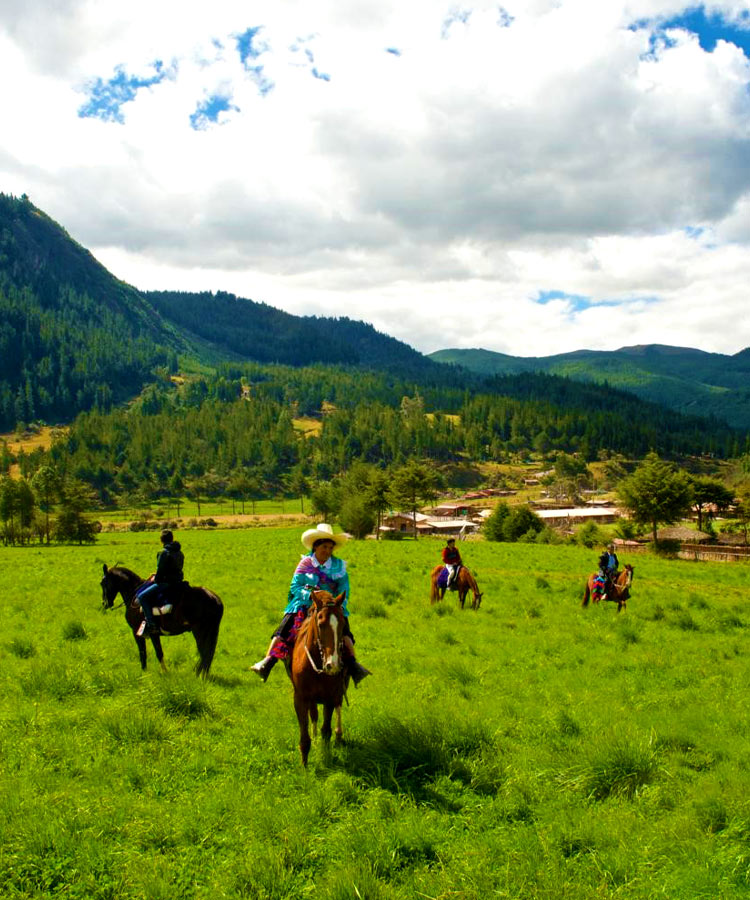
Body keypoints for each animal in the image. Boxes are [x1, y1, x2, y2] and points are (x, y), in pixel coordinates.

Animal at [292, 592, 348, 768]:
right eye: (321, 624)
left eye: (342, 624)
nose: (333, 665)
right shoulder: (301, 698)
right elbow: (305, 737)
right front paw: (304, 768)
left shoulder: (330, 697)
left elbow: (326, 731)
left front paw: (326, 756)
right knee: (314, 715)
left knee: (338, 708)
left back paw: (339, 734)